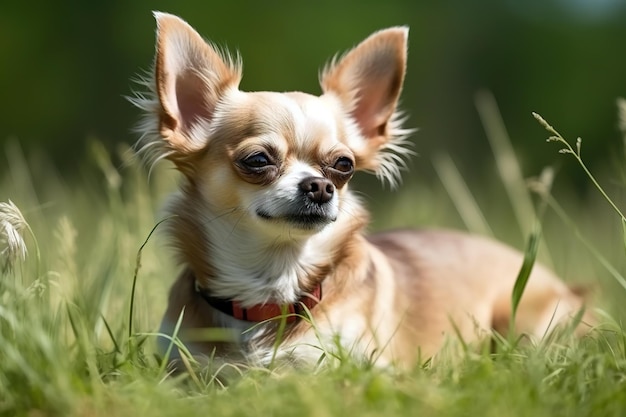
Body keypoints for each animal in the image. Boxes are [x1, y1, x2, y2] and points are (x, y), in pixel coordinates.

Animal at [130, 11, 584, 366]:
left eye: (342, 165)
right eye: (258, 160)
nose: (319, 187)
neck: (272, 288)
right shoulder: (183, 370)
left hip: (527, 322)